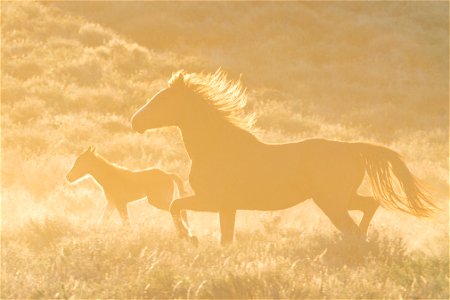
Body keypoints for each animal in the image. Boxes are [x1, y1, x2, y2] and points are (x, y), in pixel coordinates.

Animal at [130, 69, 436, 245]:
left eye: (162, 100)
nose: (135, 121)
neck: (217, 148)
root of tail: (352, 148)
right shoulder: (227, 207)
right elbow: (225, 238)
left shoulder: (213, 201)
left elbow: (175, 206)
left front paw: (189, 238)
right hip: (341, 198)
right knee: (370, 204)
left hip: (331, 202)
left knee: (353, 224)